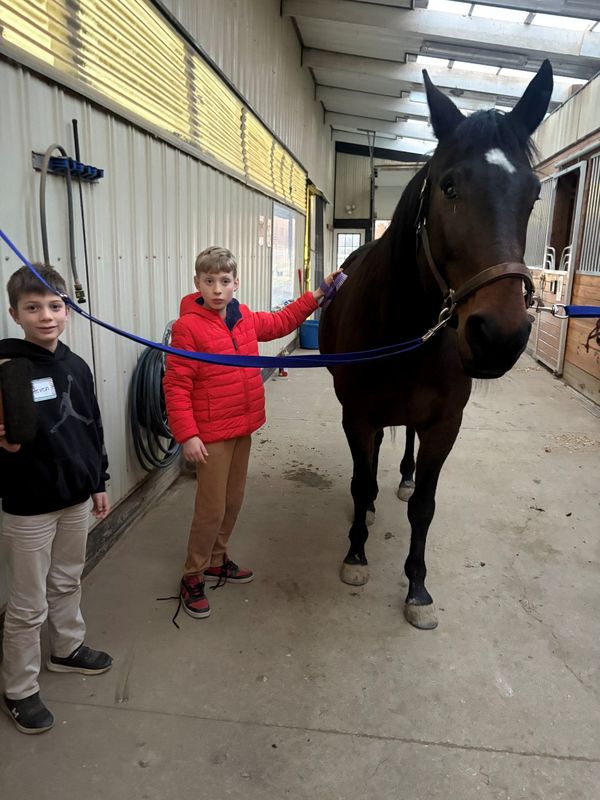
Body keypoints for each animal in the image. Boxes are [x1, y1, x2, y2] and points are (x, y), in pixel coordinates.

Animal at [319, 61, 553, 630]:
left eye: (534, 193)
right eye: (448, 185)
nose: (498, 336)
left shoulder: (445, 423)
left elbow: (423, 505)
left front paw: (417, 587)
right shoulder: (357, 415)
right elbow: (360, 482)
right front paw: (356, 553)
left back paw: (401, 479)